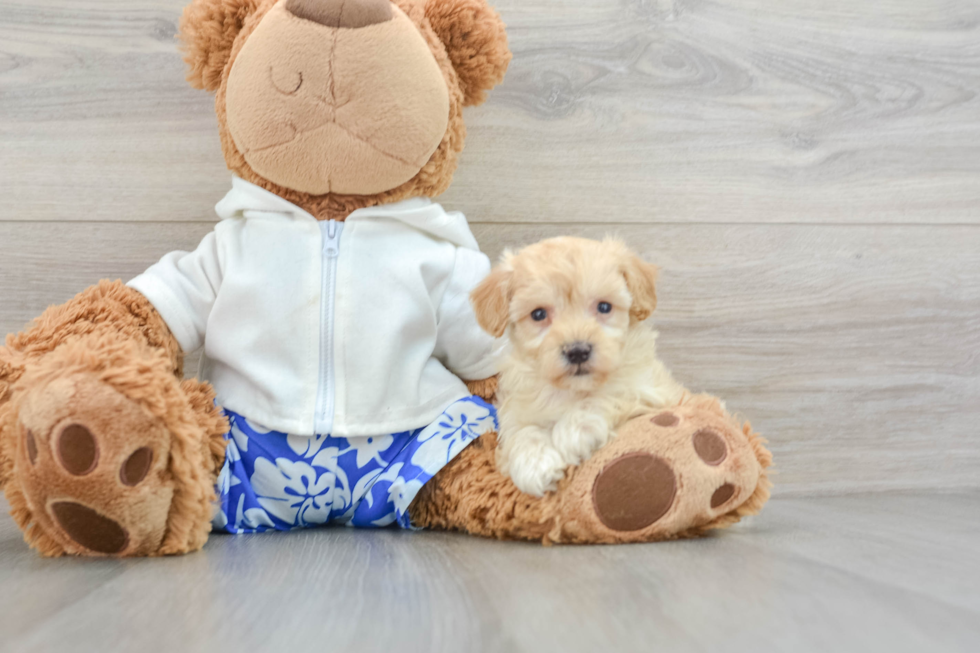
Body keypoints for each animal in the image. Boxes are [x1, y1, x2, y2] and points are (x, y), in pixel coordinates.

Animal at [470, 237, 684, 496]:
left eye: (604, 307)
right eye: (538, 314)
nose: (578, 351)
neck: (572, 390)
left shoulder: (650, 388)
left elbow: (609, 393)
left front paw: (573, 433)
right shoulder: (515, 406)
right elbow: (521, 430)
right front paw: (535, 464)